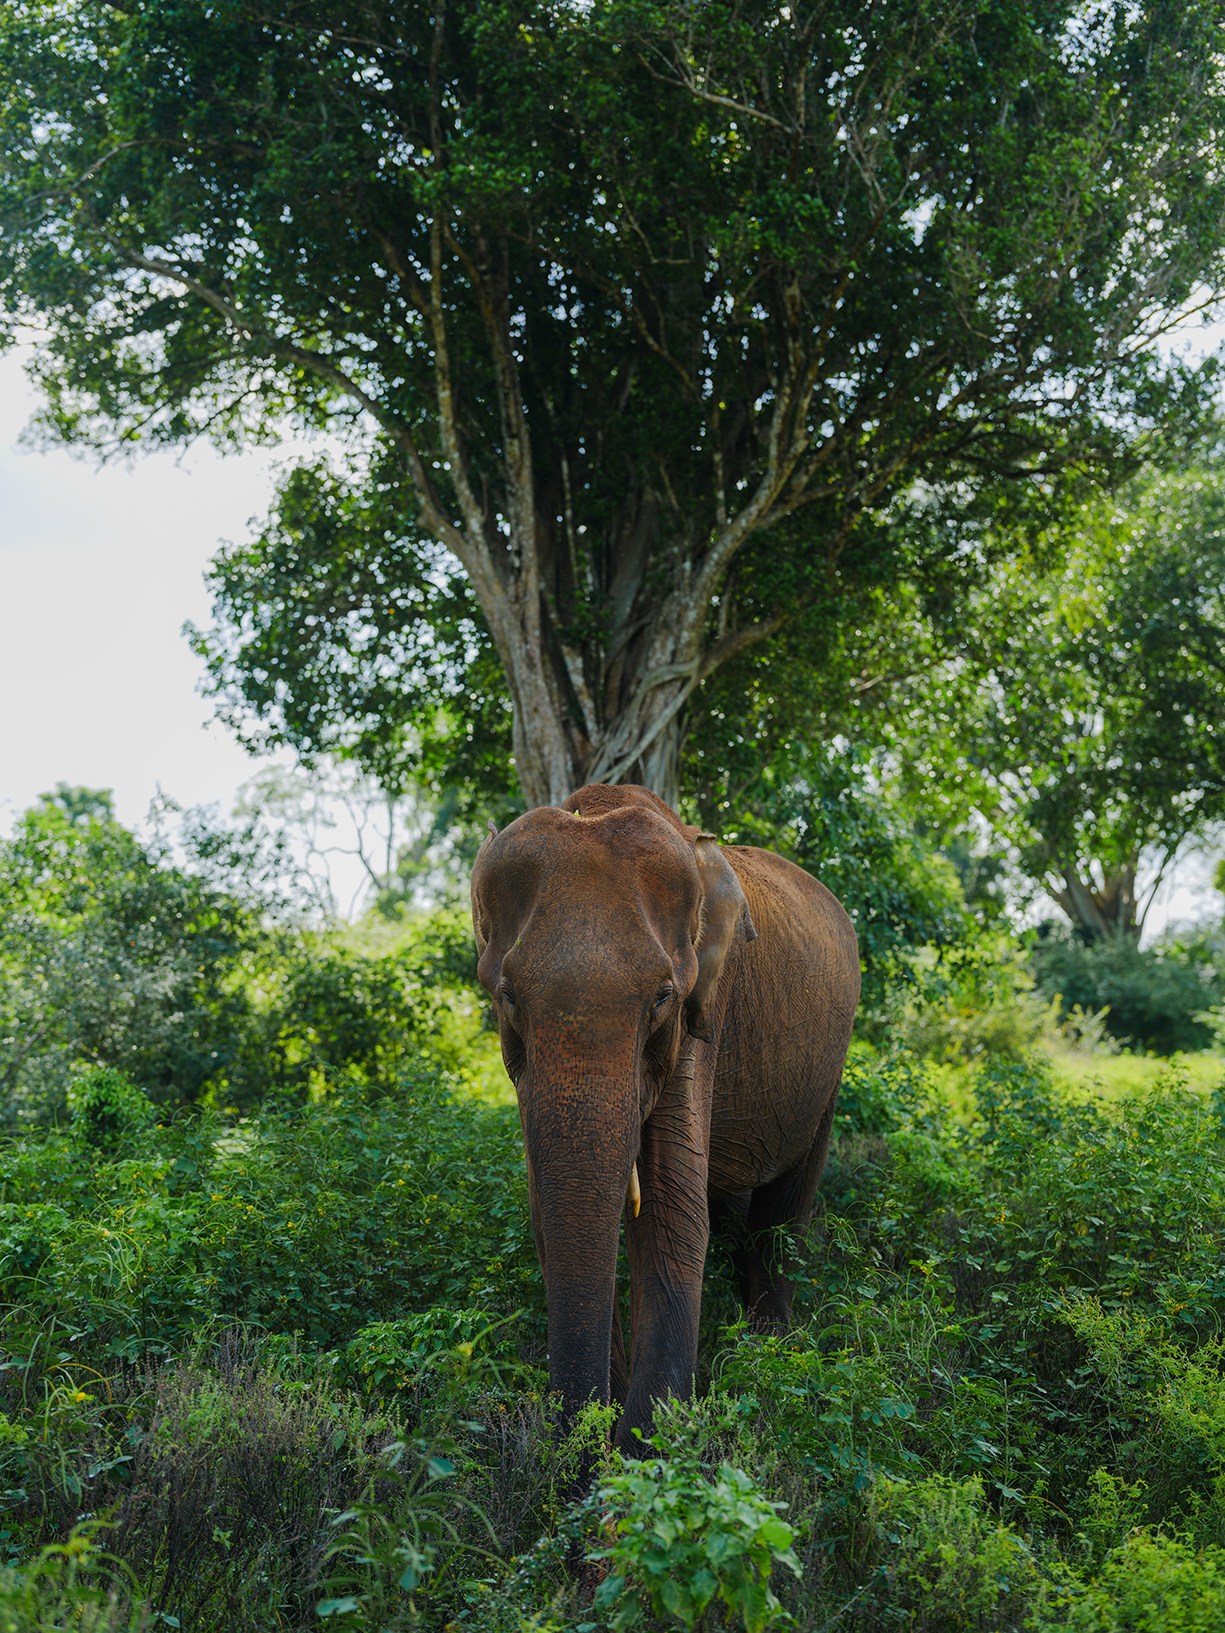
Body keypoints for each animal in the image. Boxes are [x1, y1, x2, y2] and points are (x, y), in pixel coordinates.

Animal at [470, 782, 860, 1450]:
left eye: (661, 998)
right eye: (508, 996)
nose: (581, 1444)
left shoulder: (704, 1013)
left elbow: (672, 1207)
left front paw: (647, 1449)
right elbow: (548, 1205)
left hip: (830, 1068)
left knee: (787, 1207)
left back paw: (769, 1353)